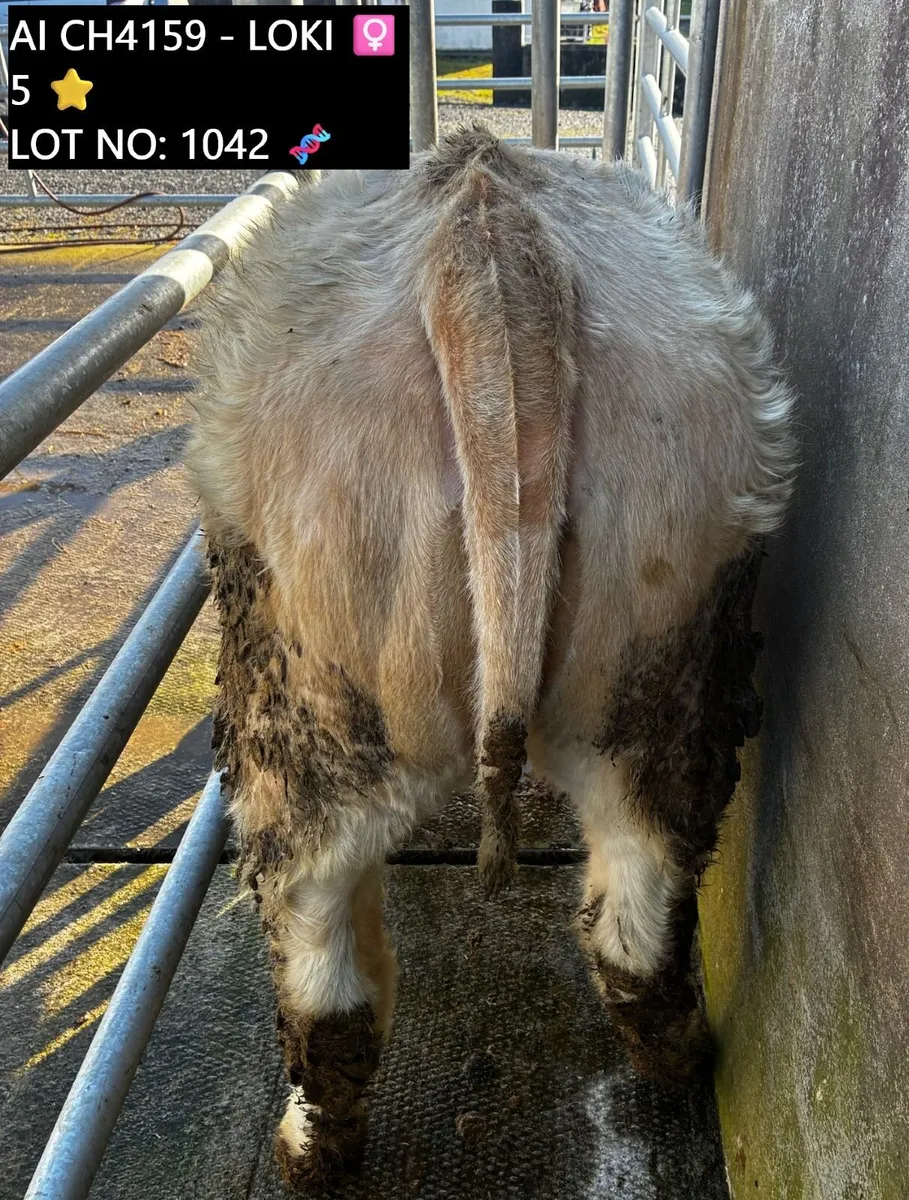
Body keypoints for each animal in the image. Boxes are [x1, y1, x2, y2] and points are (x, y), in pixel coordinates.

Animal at [186, 124, 795, 1192]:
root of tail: (489, 246)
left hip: (302, 691)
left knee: (318, 941)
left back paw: (309, 1147)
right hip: (664, 662)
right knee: (644, 885)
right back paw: (675, 1052)